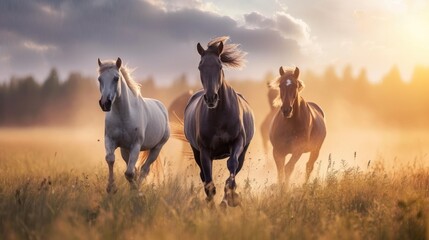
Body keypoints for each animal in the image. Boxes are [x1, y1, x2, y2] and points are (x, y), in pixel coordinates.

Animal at [98, 57, 170, 192]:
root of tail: (162, 108)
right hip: (125, 150)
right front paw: (111, 188)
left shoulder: (136, 145)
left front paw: (136, 191)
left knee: (144, 170)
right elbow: (110, 159)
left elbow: (129, 173)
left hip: (156, 148)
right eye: (99, 79)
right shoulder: (110, 140)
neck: (124, 115)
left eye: (116, 78)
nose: (105, 103)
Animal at [184, 36, 254, 206]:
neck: (220, 116)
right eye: (200, 67)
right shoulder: (204, 150)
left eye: (219, 65)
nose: (211, 98)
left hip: (244, 149)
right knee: (204, 174)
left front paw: (230, 196)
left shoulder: (238, 141)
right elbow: (208, 179)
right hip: (196, 151)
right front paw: (212, 203)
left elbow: (232, 164)